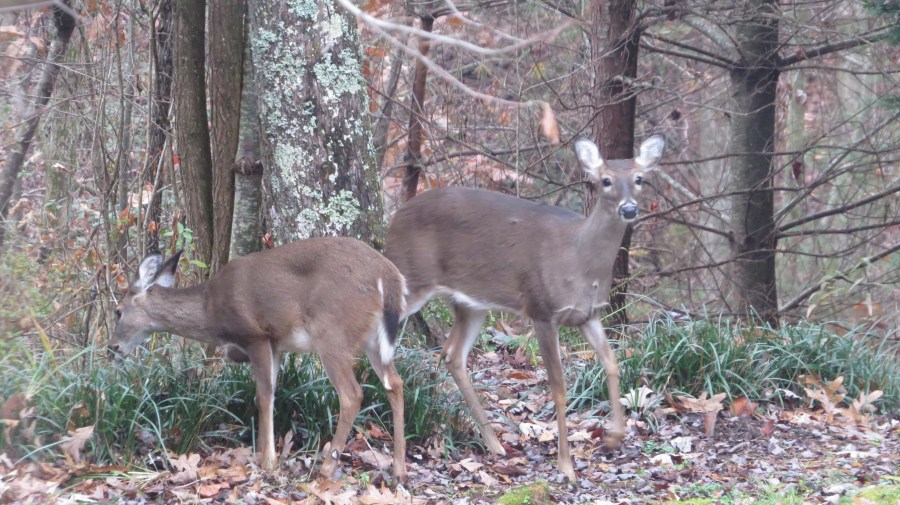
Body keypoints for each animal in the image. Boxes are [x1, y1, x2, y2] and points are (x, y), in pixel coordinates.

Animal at [108, 237, 408, 482]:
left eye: (118, 311)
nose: (113, 347)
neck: (211, 310)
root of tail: (389, 276)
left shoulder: (256, 335)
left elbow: (264, 396)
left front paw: (269, 462)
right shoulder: (276, 345)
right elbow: (264, 394)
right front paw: (262, 453)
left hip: (331, 331)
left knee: (352, 394)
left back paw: (326, 468)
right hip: (371, 339)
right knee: (395, 383)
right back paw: (399, 470)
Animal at [384, 134, 666, 480]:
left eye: (639, 178)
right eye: (606, 180)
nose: (628, 208)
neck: (581, 261)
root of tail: (394, 217)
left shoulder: (589, 314)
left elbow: (612, 363)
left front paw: (614, 436)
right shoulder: (541, 309)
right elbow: (559, 387)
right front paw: (566, 465)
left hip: (471, 302)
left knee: (452, 355)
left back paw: (495, 443)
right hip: (410, 280)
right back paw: (398, 463)